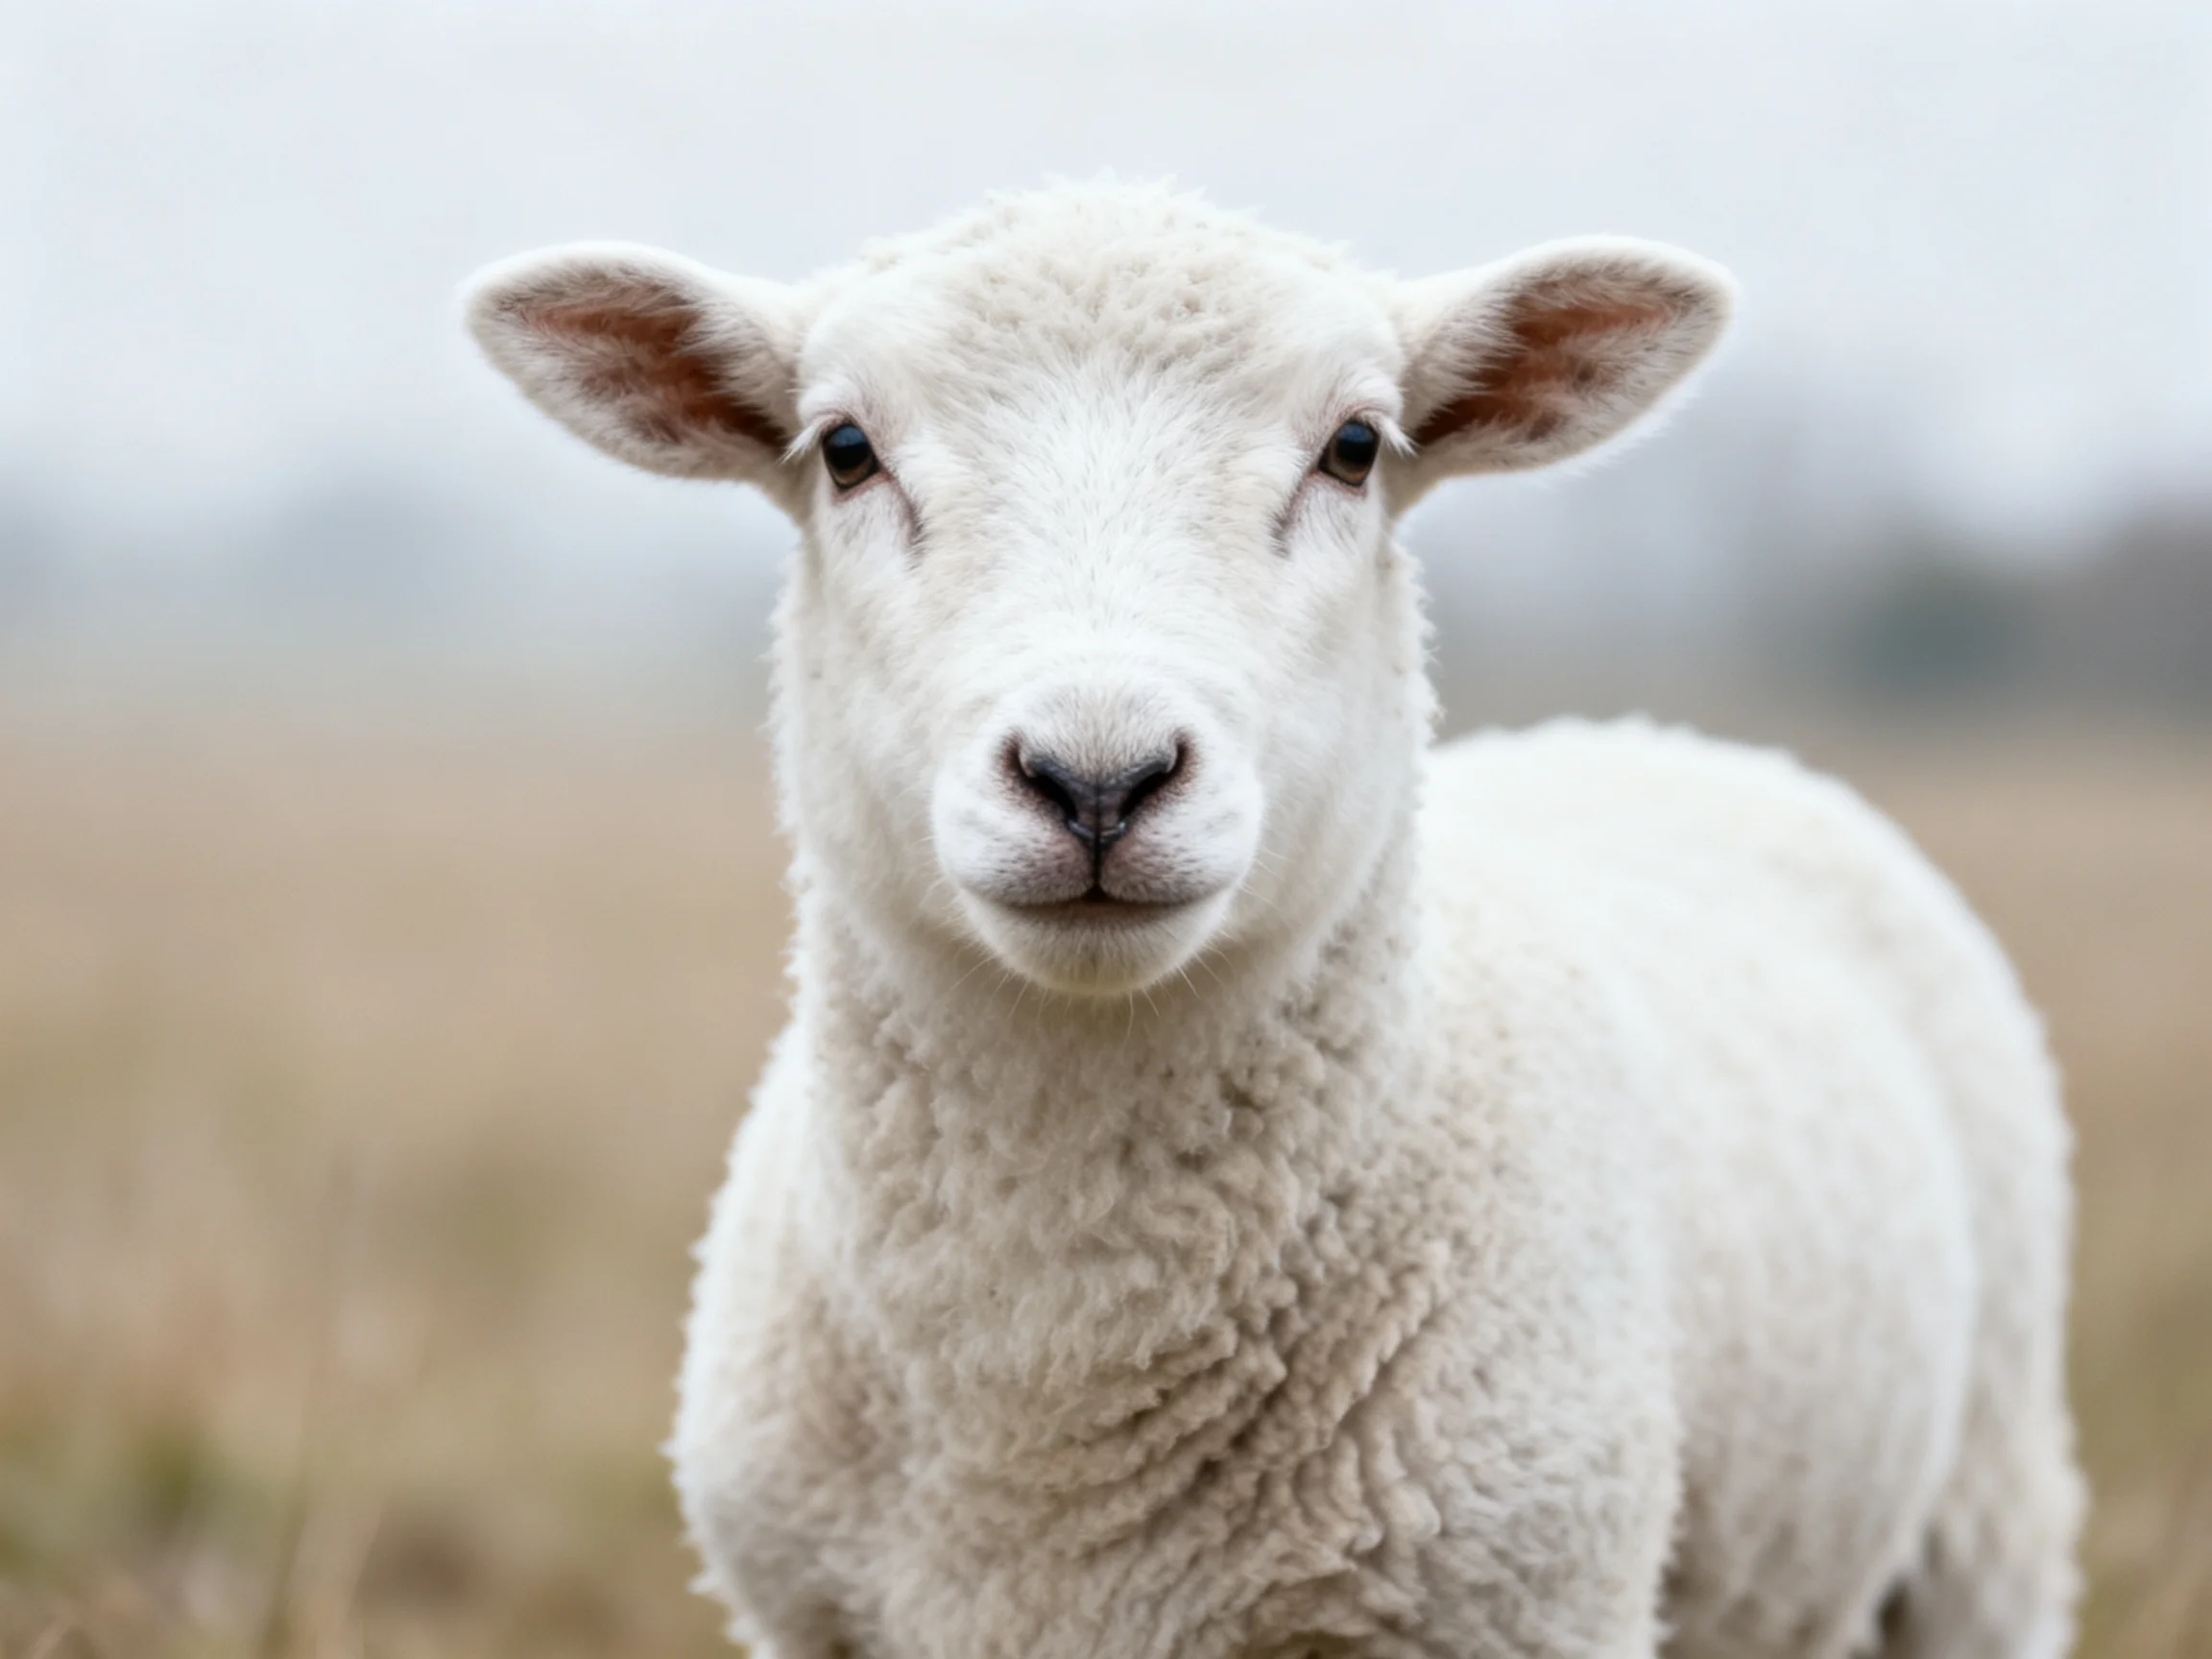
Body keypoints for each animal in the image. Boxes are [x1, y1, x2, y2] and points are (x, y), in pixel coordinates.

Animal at [464, 181, 2082, 1659]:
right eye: (847, 451)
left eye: (1355, 447)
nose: (1097, 775)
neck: (1055, 1391)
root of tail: (1664, 740)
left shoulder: (1523, 1603)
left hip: (1985, 1511)